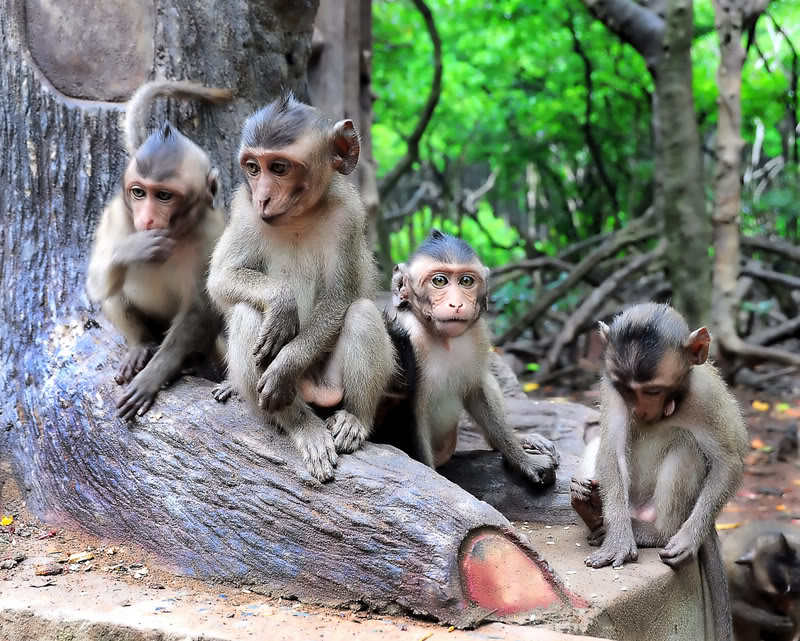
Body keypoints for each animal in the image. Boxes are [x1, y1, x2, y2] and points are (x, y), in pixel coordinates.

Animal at [86, 80, 232, 421]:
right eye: (139, 192)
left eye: (164, 196)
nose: (147, 219)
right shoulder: (116, 215)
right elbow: (95, 283)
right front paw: (135, 248)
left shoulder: (213, 236)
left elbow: (201, 308)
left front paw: (154, 375)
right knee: (114, 288)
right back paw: (141, 346)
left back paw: (191, 364)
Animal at [206, 93, 395, 483]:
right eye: (252, 168)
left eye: (279, 168)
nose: (263, 197)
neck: (298, 216)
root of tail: (314, 391)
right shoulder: (243, 208)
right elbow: (221, 278)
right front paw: (281, 303)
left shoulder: (348, 214)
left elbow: (340, 297)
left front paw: (285, 365)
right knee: (247, 313)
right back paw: (300, 424)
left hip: (328, 382)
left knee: (362, 313)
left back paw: (354, 419)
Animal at [374, 230, 560, 485]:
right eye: (439, 281)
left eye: (466, 281)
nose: (457, 303)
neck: (443, 339)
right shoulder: (408, 334)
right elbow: (413, 414)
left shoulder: (478, 335)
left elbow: (477, 391)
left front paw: (524, 460)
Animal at [569, 302, 749, 641]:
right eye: (626, 389)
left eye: (652, 391)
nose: (639, 410)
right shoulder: (610, 384)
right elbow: (611, 446)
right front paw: (618, 539)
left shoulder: (706, 394)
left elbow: (729, 460)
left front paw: (689, 539)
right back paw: (591, 506)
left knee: (688, 446)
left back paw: (656, 532)